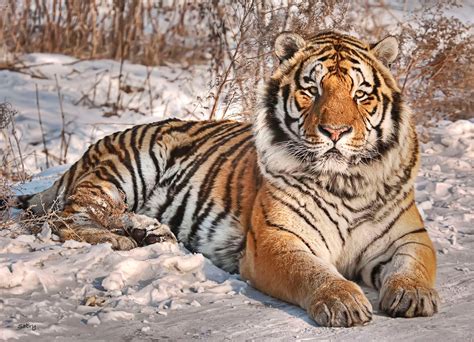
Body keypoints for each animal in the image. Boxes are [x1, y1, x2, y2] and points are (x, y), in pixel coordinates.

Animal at [12, 31, 438, 326]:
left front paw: (414, 296)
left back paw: (152, 233)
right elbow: (312, 271)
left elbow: (414, 266)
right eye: (311, 90)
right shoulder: (277, 241)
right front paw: (343, 300)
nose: (335, 131)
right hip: (129, 167)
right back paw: (121, 239)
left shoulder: (409, 237)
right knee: (67, 217)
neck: (346, 181)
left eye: (361, 94)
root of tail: (88, 153)